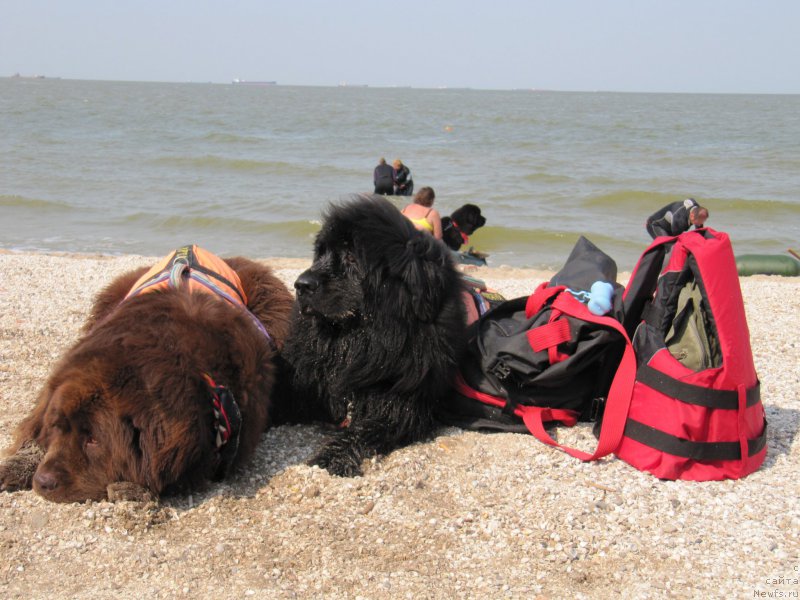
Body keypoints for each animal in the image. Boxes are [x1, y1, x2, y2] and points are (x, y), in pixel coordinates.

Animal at [0, 244, 292, 502]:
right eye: (56, 426)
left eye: (93, 440)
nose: (43, 481)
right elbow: (34, 426)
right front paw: (19, 463)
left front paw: (129, 488)